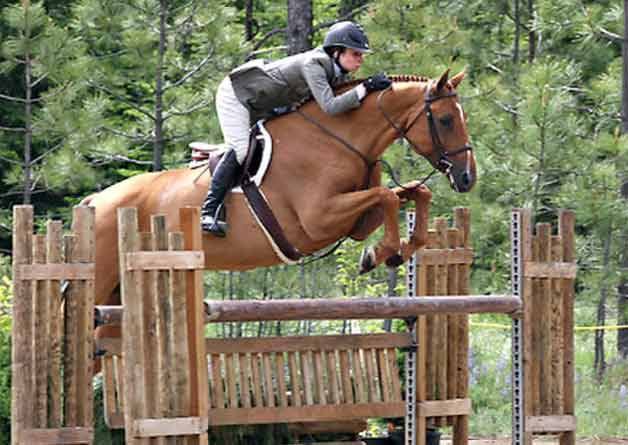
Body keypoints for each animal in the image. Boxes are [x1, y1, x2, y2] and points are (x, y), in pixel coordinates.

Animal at [84, 68, 476, 308]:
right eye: (445, 120)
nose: (467, 178)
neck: (338, 138)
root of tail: (95, 201)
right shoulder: (319, 219)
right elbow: (387, 198)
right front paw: (381, 254)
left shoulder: (355, 221)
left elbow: (412, 194)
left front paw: (395, 251)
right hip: (102, 280)